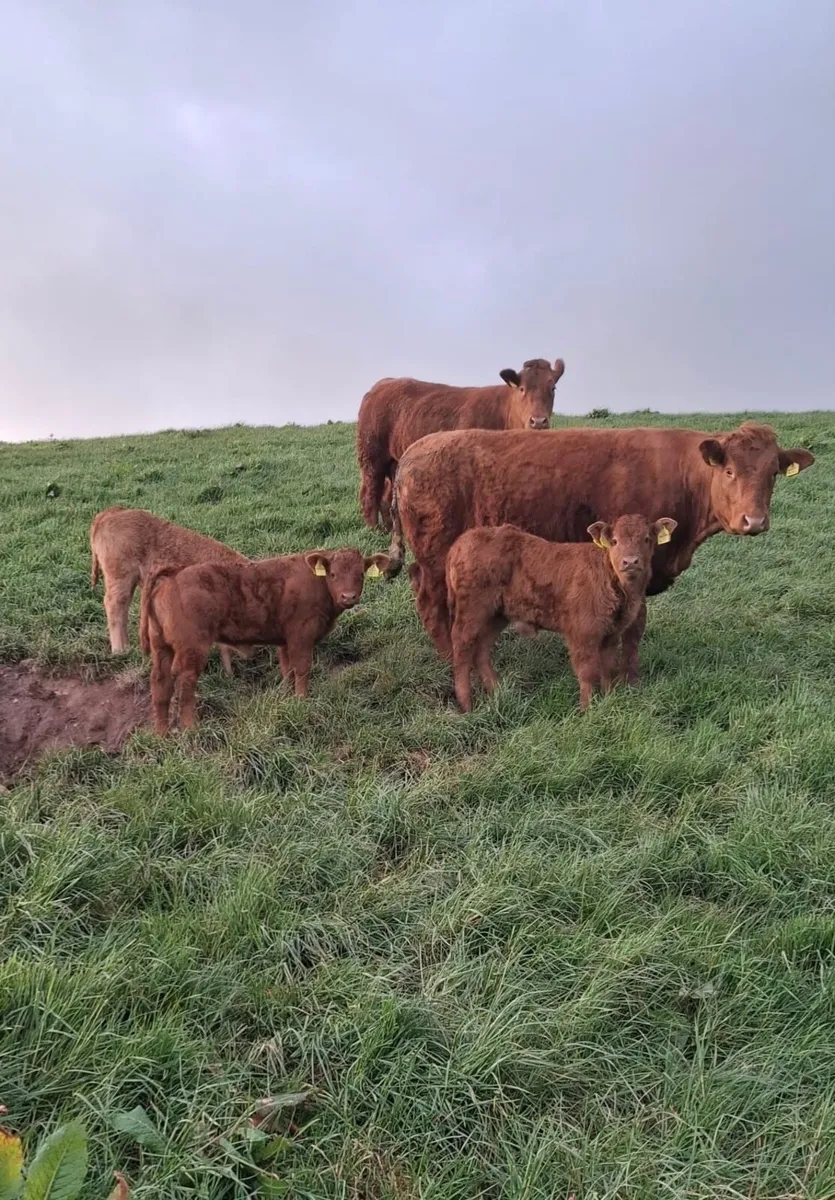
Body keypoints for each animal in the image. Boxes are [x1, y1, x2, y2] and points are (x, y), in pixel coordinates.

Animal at [145, 547, 390, 734]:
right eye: (333, 575)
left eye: (361, 574)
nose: (348, 597)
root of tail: (174, 575)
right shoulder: (301, 635)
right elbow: (302, 669)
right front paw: (302, 701)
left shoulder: (285, 641)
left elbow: (287, 670)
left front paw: (287, 698)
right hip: (192, 649)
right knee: (185, 684)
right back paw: (191, 729)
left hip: (161, 647)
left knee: (160, 684)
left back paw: (161, 734)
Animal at [356, 357, 565, 530]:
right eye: (522, 389)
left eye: (552, 388)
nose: (538, 421)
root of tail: (382, 384)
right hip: (371, 455)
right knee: (370, 492)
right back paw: (374, 529)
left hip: (393, 460)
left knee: (385, 495)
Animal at [385, 422, 814, 671]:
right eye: (728, 471)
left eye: (773, 473)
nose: (754, 521)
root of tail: (410, 454)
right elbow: (634, 627)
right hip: (436, 553)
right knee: (431, 599)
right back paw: (449, 657)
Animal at [446, 515, 677, 711]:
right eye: (614, 541)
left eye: (647, 539)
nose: (630, 562)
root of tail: (462, 541)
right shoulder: (582, 633)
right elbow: (588, 672)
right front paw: (587, 710)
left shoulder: (611, 634)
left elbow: (607, 668)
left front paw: (609, 700)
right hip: (472, 610)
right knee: (462, 648)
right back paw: (466, 705)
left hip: (496, 615)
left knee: (481, 650)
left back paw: (498, 691)